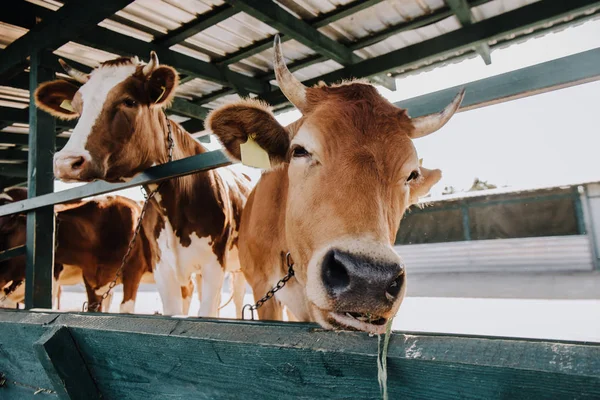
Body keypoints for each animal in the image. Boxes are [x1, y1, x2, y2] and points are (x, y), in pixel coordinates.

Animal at [32, 53, 251, 318]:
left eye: (129, 101)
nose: (66, 162)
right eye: (77, 108)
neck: (175, 207)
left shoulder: (213, 265)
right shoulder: (162, 268)